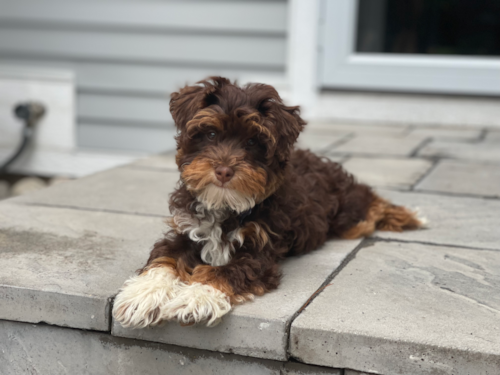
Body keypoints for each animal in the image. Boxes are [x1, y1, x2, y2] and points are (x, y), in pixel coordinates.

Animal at [112, 77, 422, 328]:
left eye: (252, 142)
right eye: (210, 134)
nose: (223, 171)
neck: (226, 206)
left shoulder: (259, 253)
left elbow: (226, 271)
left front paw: (196, 297)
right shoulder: (186, 229)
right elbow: (164, 258)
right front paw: (142, 295)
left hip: (348, 213)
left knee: (369, 204)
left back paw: (409, 214)